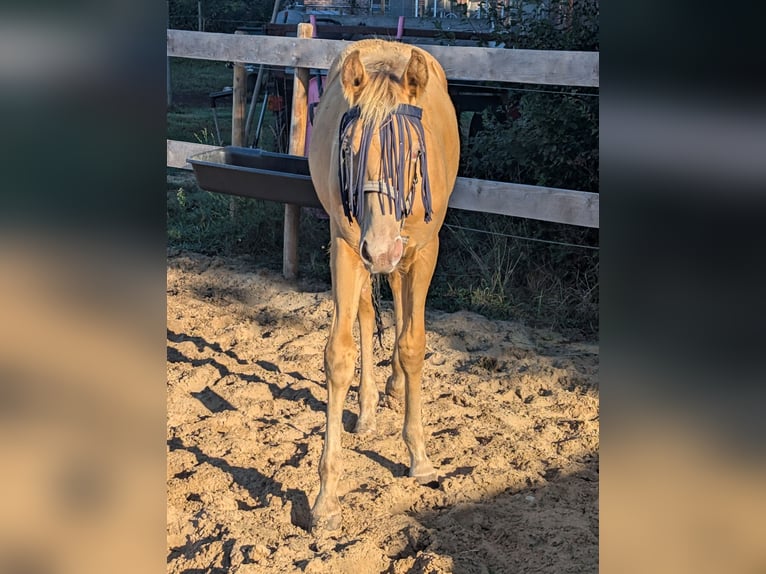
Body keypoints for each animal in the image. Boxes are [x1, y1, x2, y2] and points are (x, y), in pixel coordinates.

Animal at [307, 38, 460, 531]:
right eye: (349, 152)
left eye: (413, 155)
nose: (380, 248)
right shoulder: (346, 248)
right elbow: (339, 355)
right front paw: (326, 496)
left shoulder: (423, 251)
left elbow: (413, 343)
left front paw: (419, 456)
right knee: (366, 311)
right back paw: (370, 406)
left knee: (397, 304)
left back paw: (393, 388)